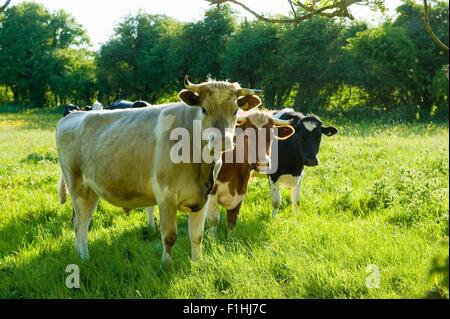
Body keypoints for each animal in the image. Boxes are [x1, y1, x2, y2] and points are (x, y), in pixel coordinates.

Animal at [56, 77, 262, 268]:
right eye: (204, 109)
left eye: (235, 111)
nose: (222, 141)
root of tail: (74, 115)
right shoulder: (166, 196)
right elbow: (170, 236)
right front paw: (166, 265)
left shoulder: (203, 197)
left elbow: (197, 236)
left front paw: (197, 263)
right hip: (77, 186)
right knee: (80, 224)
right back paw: (84, 258)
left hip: (92, 190)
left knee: (83, 221)